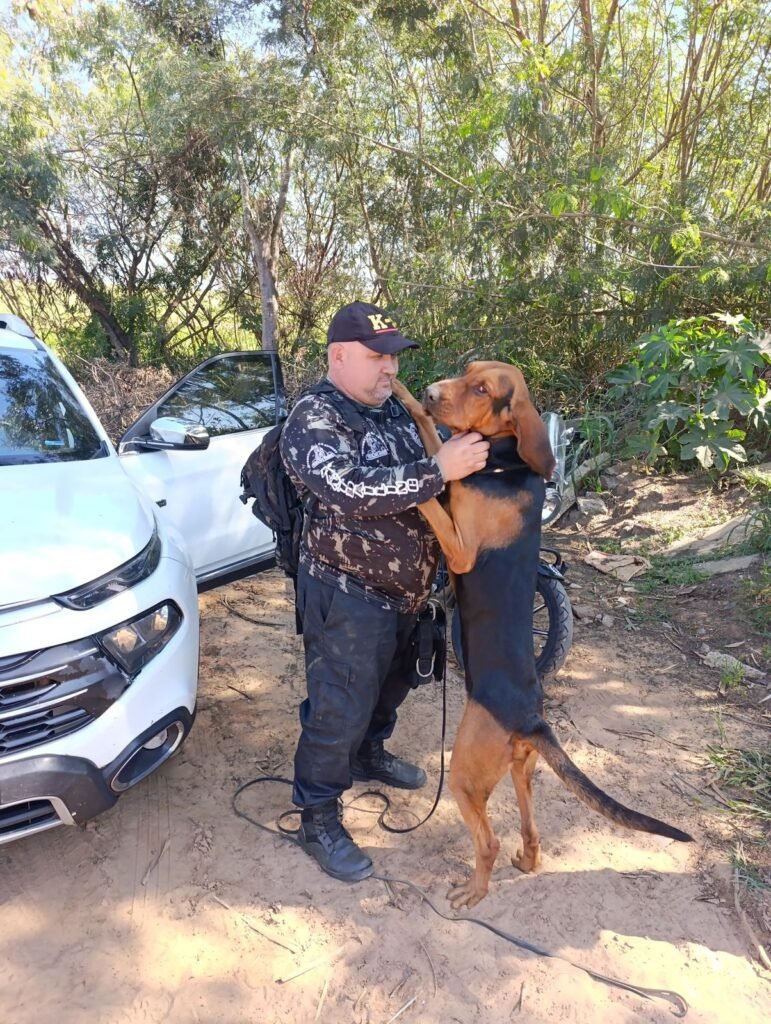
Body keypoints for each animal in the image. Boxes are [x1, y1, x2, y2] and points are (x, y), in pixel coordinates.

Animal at [392, 363, 692, 909]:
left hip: (465, 772)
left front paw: (414, 478)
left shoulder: (460, 550)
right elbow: (429, 432)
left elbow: (432, 499)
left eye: (482, 389)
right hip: (521, 769)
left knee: (488, 842)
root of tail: (531, 720)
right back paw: (525, 863)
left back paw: (473, 891)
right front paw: (405, 397)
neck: (504, 464)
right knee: (532, 833)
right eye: (466, 372)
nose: (431, 390)